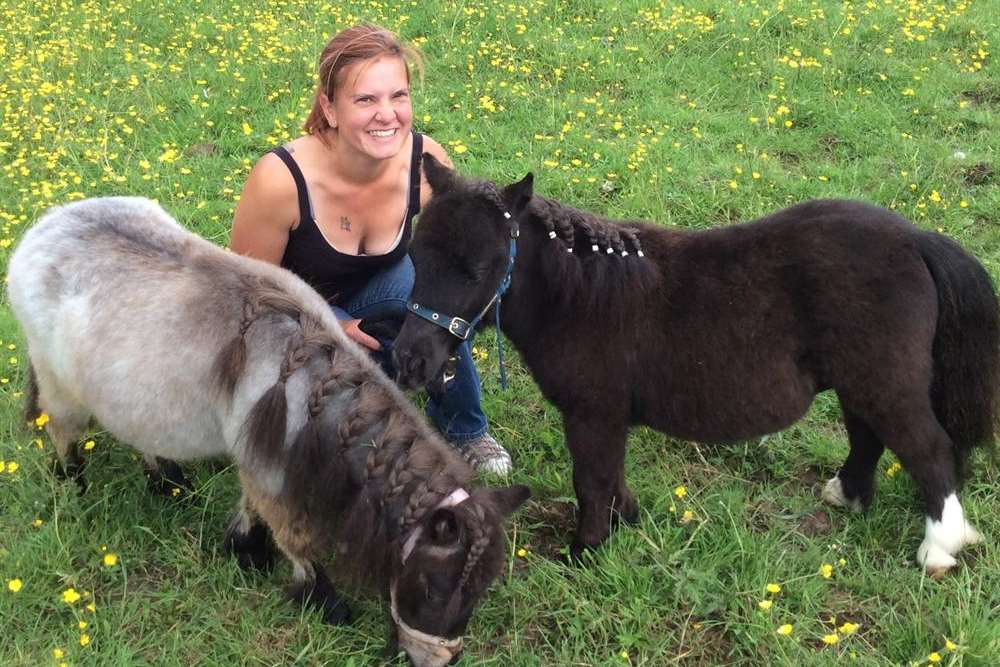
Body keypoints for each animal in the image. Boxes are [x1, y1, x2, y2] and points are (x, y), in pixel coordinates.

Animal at [394, 155, 996, 576]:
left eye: (478, 270)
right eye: (414, 256)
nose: (410, 361)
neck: (581, 295)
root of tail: (916, 239)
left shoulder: (592, 413)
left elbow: (591, 479)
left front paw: (586, 550)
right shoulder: (606, 418)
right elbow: (611, 475)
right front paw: (626, 520)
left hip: (886, 381)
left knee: (928, 449)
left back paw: (939, 549)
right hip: (859, 381)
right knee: (869, 436)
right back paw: (845, 496)